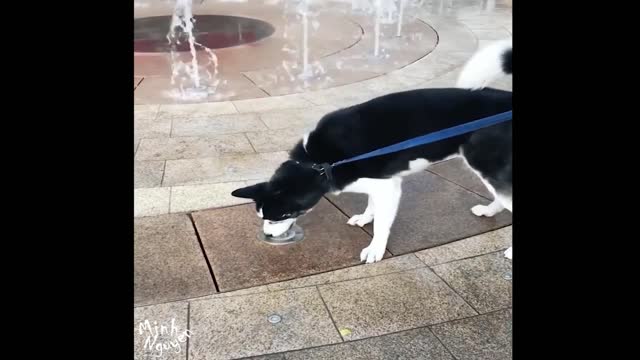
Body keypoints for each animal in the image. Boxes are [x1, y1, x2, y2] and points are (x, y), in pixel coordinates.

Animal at [232, 39, 512, 262]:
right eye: (262, 217)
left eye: (281, 216)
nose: (268, 234)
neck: (318, 163)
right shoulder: (380, 185)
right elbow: (372, 204)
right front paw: (366, 217)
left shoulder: (389, 188)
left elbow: (381, 225)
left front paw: (376, 249)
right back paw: (489, 210)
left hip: (486, 164)